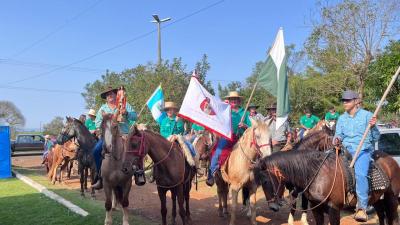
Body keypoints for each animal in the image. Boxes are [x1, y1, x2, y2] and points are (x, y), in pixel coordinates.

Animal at [255, 148, 400, 225]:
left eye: (266, 181)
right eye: (260, 182)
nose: (272, 207)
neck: (316, 174)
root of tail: (391, 160)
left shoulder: (334, 208)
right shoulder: (316, 208)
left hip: (392, 198)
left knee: (393, 218)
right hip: (377, 200)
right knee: (381, 215)